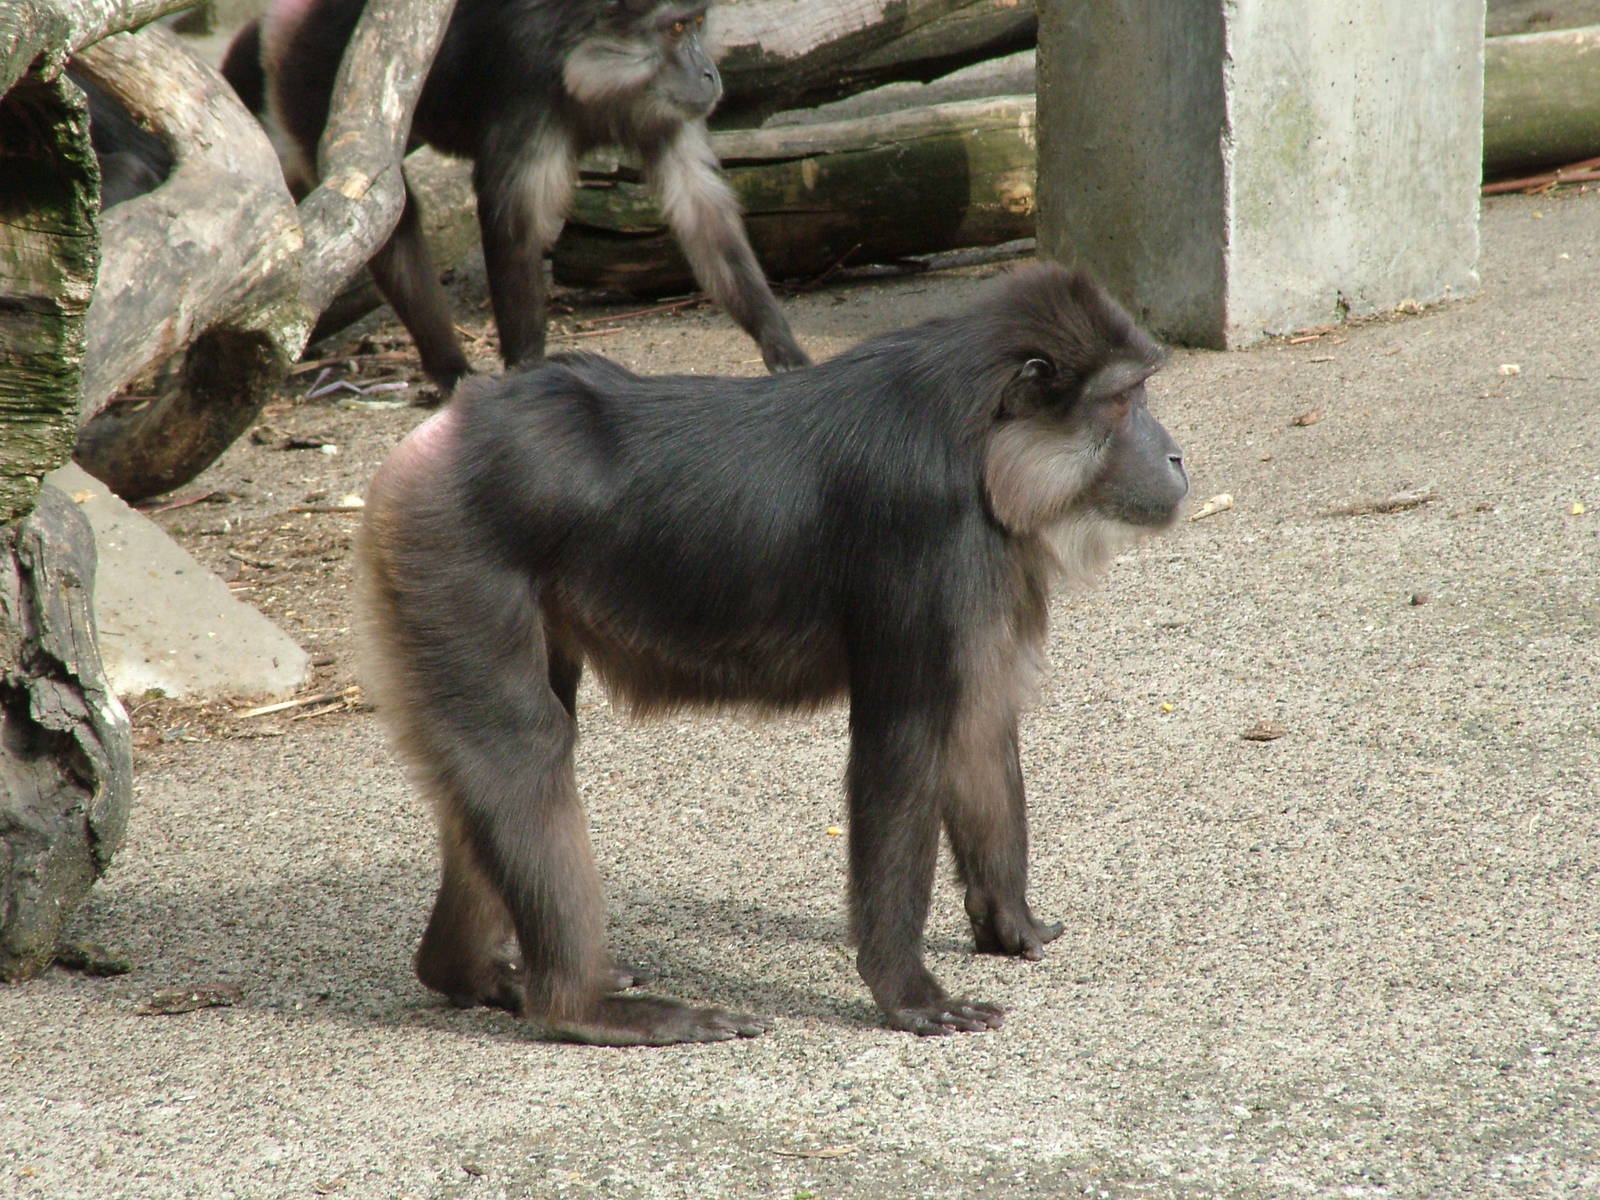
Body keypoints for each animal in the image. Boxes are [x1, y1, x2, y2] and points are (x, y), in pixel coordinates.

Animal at [221, 0, 810, 392]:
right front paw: (526, 370)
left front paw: (782, 347)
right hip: (313, 74)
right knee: (380, 203)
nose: (709, 73)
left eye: (699, 23)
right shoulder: (527, 86)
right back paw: (449, 370)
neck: (587, 63)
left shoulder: (660, 111)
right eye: (678, 27)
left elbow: (701, 210)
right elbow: (515, 224)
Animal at [357, 264, 1188, 1044]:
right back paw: (578, 1006)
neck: (980, 438)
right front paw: (908, 994)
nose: (1176, 456)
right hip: (450, 553)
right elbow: (903, 744)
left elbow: (977, 723)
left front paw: (1011, 921)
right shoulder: (931, 535)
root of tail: (443, 437)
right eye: (1125, 400)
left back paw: (467, 972)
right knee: (522, 752)